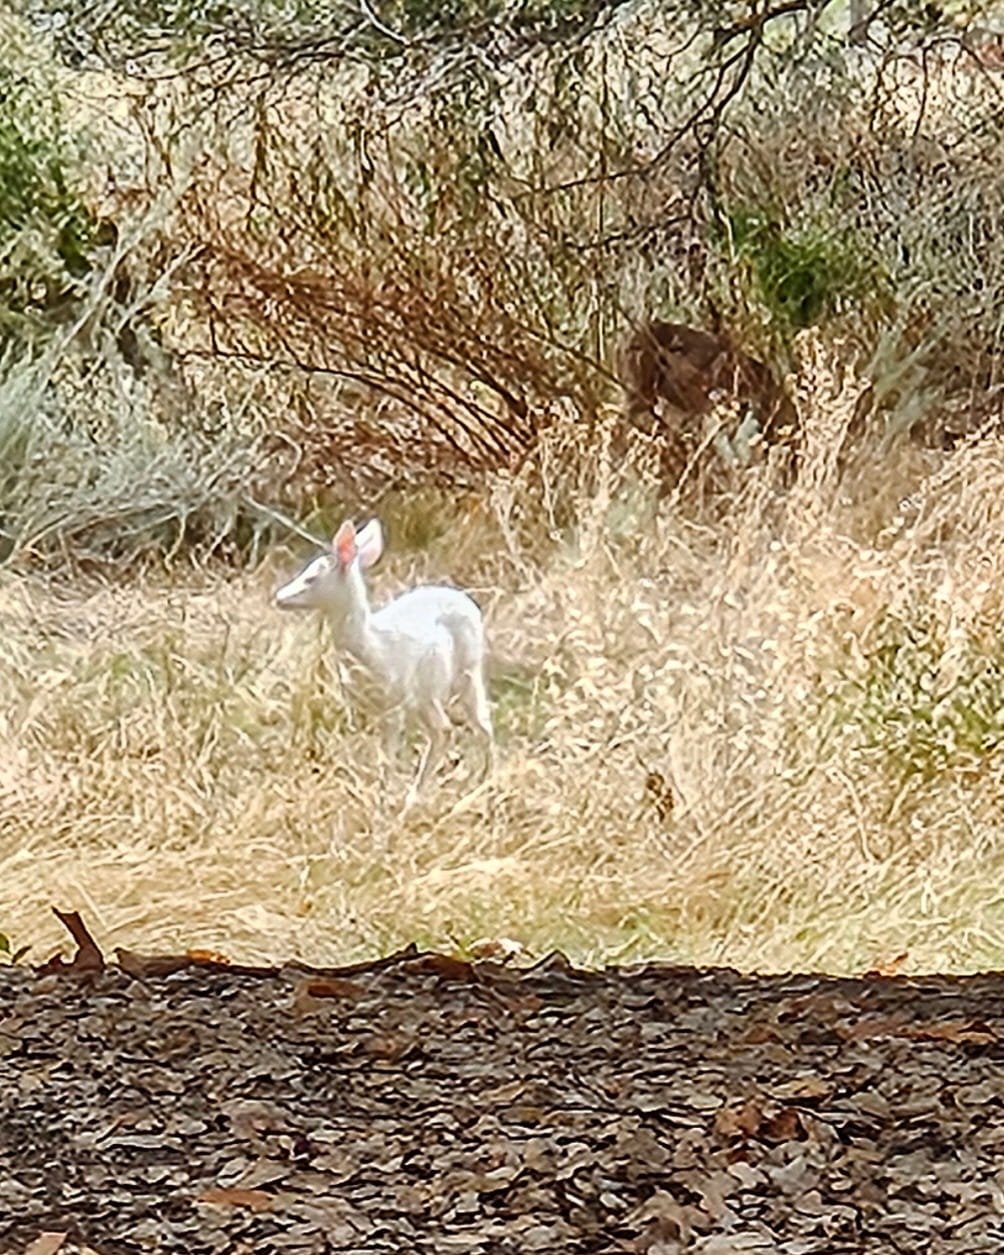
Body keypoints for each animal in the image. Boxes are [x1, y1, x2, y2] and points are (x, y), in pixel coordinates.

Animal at [274, 518, 494, 808]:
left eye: (311, 578)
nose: (279, 597)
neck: (373, 645)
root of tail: (470, 604)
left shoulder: (393, 702)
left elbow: (387, 757)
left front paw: (383, 797)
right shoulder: (367, 707)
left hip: (453, 675)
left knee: (451, 729)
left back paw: (421, 796)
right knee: (474, 724)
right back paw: (481, 783)